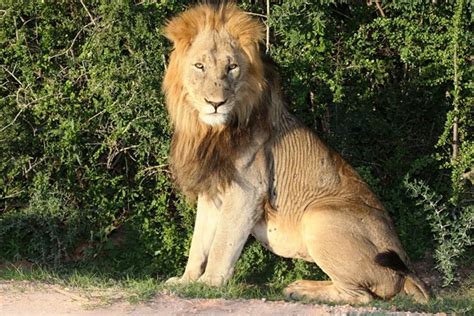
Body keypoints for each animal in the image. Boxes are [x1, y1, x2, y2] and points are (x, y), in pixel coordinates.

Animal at [161, 2, 432, 304]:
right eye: (200, 66)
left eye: (232, 67)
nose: (216, 103)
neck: (209, 132)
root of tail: (410, 274)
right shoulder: (212, 189)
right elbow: (199, 242)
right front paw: (186, 280)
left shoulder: (248, 190)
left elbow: (222, 243)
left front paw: (210, 283)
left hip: (319, 218)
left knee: (362, 295)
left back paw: (301, 289)